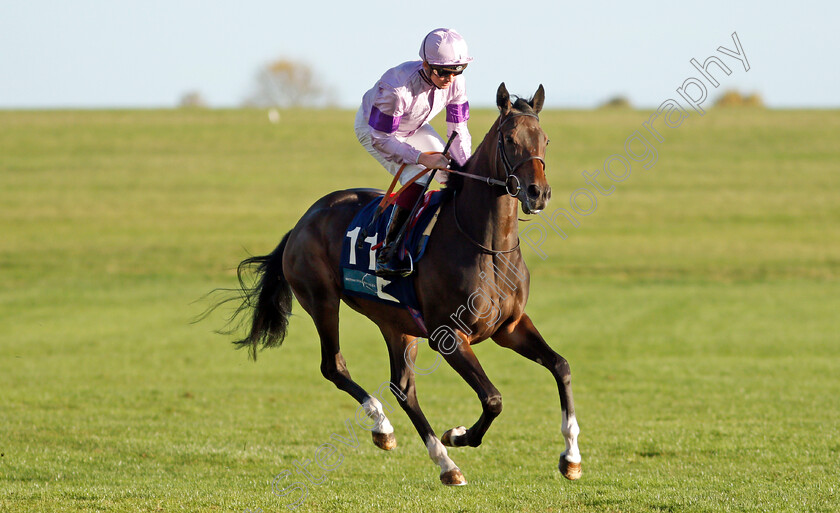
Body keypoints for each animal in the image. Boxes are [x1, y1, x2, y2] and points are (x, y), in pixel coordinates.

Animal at [230, 83, 584, 484]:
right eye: (510, 139)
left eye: (545, 139)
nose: (538, 192)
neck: (488, 246)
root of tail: (303, 221)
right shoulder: (448, 336)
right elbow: (493, 399)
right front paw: (458, 435)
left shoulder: (509, 327)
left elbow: (561, 366)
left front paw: (571, 457)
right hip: (321, 300)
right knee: (334, 366)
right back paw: (387, 428)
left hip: (396, 323)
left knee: (403, 388)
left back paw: (444, 463)